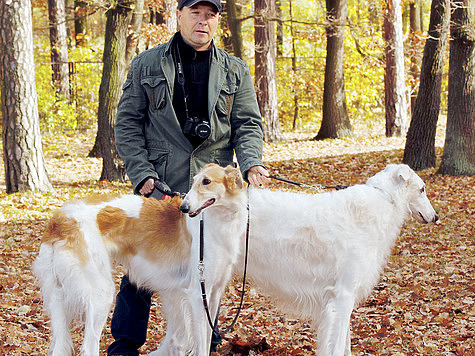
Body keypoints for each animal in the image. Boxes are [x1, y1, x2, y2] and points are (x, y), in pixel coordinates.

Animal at [33, 166, 249, 356]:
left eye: (206, 181)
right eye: (195, 181)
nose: (184, 208)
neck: (216, 222)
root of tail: (58, 221)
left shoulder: (213, 294)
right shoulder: (197, 293)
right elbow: (201, 344)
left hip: (59, 295)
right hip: (101, 292)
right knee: (88, 347)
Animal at [180, 163, 440, 354]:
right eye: (422, 189)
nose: (435, 217)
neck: (382, 198)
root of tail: (189, 205)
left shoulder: (341, 297)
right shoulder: (343, 295)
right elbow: (338, 347)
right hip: (203, 284)